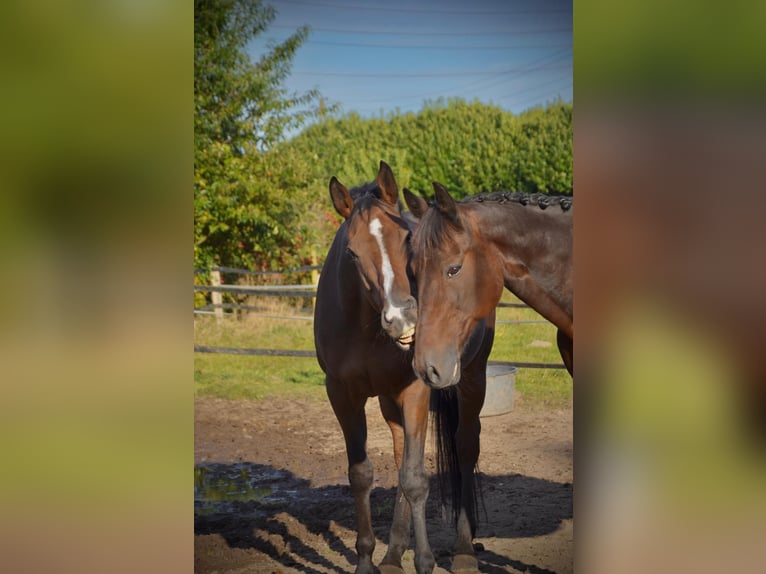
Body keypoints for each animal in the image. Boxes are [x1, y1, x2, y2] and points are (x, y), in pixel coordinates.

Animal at [316, 162, 496, 574]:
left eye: (407, 239)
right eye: (351, 253)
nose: (402, 318)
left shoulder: (416, 389)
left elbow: (415, 478)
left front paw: (426, 561)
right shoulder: (342, 395)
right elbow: (362, 475)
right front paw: (366, 559)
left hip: (472, 378)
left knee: (465, 446)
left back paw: (464, 550)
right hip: (388, 397)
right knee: (400, 454)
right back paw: (394, 553)